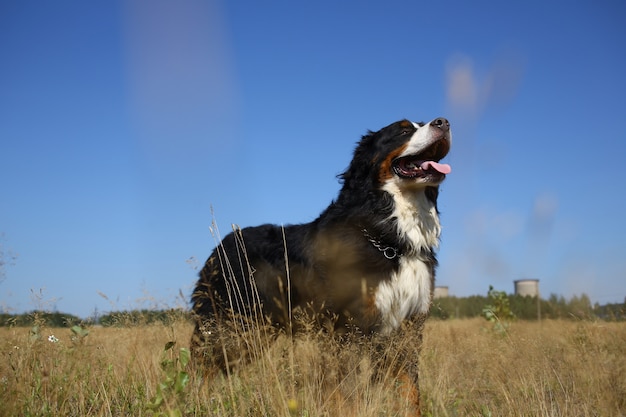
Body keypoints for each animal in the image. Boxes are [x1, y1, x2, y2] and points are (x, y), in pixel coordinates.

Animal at [190, 117, 448, 412]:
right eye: (403, 129)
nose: (443, 123)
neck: (390, 239)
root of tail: (222, 245)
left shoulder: (407, 328)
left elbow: (410, 392)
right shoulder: (345, 328)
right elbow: (345, 392)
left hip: (255, 333)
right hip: (228, 326)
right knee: (201, 371)